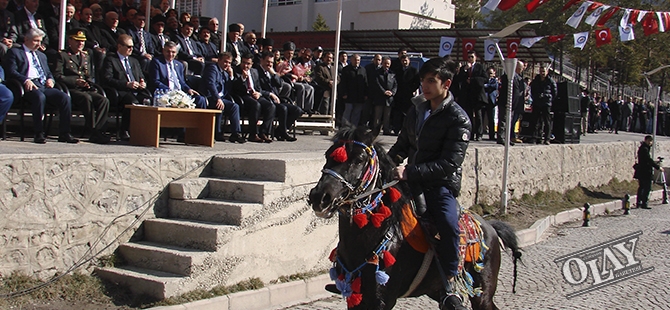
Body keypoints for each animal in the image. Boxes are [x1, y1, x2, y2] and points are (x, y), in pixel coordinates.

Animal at [310, 126, 524, 310]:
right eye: (327, 155)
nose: (319, 197)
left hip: (482, 294)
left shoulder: (382, 299)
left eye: (359, 159)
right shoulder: (356, 295)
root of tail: (491, 228)